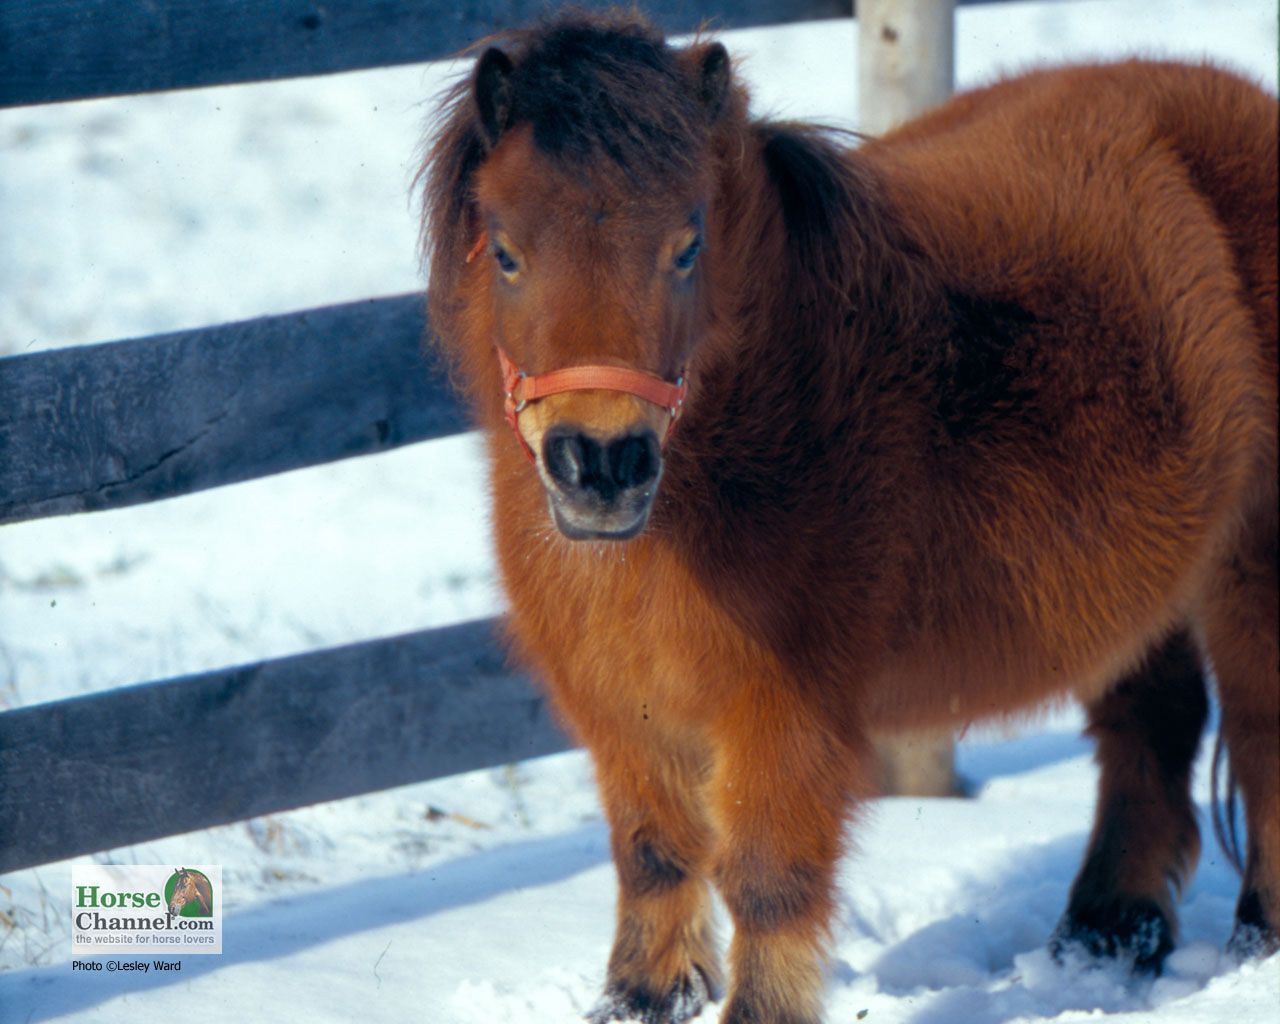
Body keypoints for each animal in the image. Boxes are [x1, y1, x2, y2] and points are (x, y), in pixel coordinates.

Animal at [419, 11, 1278, 1023]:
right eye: (507, 251)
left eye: (687, 247)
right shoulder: (623, 707)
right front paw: (642, 997)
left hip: (1252, 564)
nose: (601, 466)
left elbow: (767, 876)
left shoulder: (786, 711)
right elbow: (654, 854)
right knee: (1152, 726)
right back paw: (1106, 935)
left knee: (1259, 730)